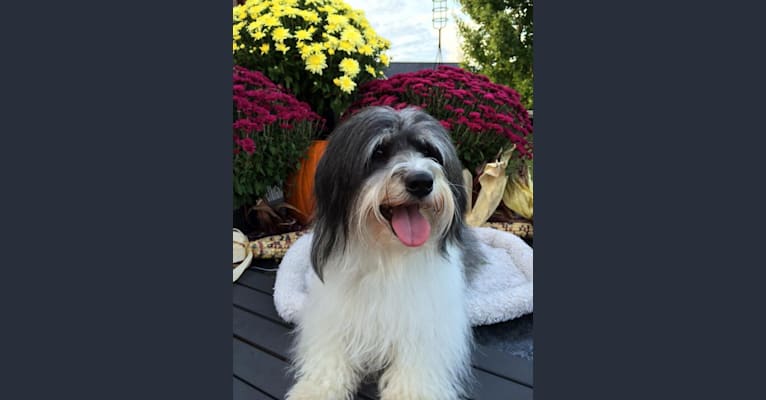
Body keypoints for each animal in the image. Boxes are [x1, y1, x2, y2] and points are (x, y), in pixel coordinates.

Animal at [288, 106, 486, 400]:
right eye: (379, 152)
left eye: (429, 152)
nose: (421, 181)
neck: (389, 254)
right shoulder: (331, 311)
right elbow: (330, 349)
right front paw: (316, 388)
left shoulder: (426, 319)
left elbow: (417, 357)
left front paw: (411, 392)